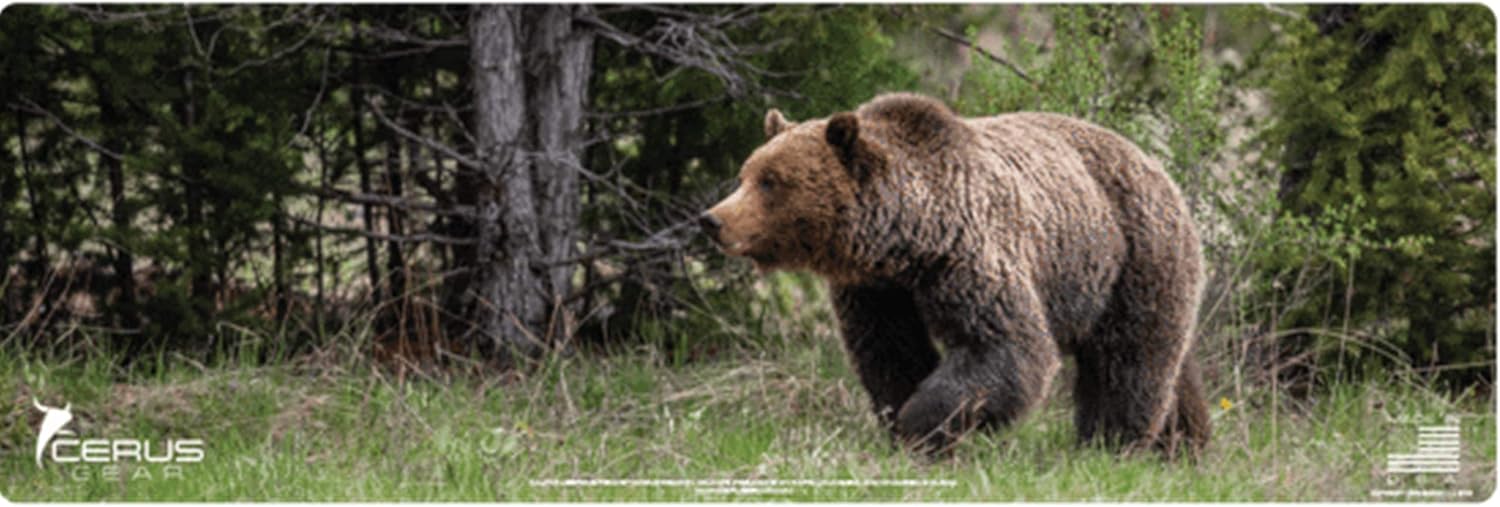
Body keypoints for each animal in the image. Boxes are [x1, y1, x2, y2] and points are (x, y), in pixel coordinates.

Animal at [698, 92, 1211, 457]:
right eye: (746, 173)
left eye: (771, 182)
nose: (713, 219)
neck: (906, 240)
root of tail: (1154, 163)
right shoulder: (877, 290)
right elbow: (889, 352)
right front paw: (901, 422)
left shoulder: (968, 256)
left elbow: (1003, 347)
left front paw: (921, 427)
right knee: (1174, 365)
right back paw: (1185, 443)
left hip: (1131, 256)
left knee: (1127, 358)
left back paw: (1111, 442)